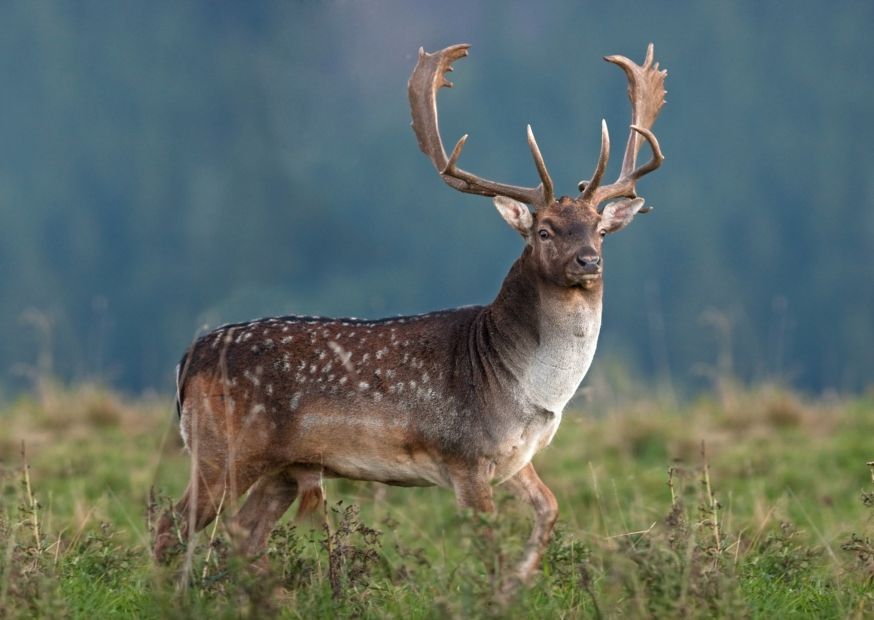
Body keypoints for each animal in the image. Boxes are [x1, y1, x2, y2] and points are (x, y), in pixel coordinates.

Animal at [154, 42, 666, 592]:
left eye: (599, 229)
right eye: (545, 230)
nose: (589, 261)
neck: (527, 390)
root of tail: (186, 359)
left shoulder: (515, 456)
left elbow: (549, 509)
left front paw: (519, 582)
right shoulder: (466, 455)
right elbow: (488, 544)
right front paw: (498, 593)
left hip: (285, 468)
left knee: (244, 533)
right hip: (222, 450)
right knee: (170, 525)